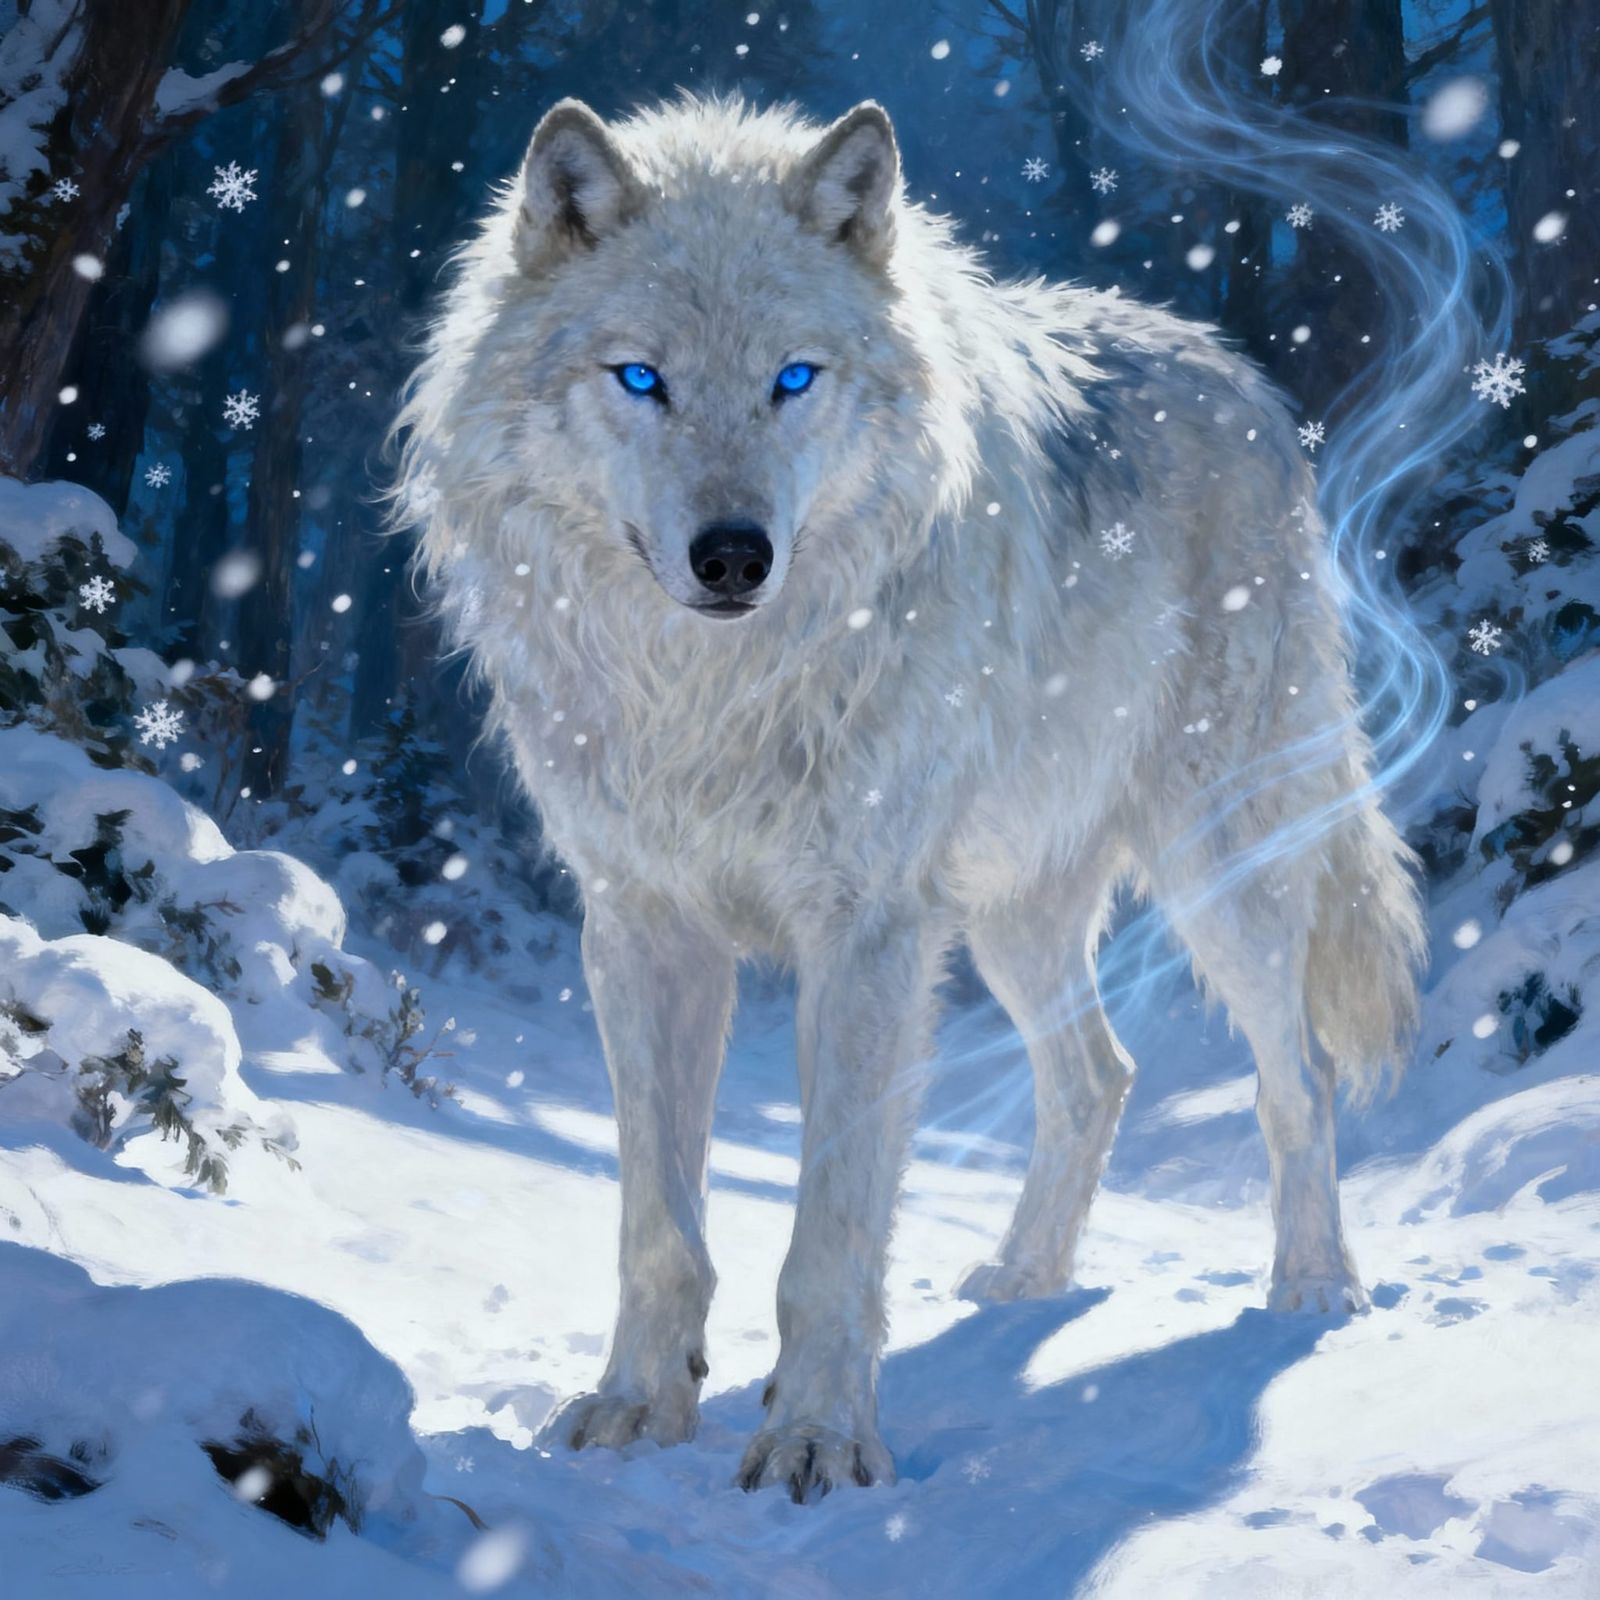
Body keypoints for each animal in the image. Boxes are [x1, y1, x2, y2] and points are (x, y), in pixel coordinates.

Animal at [393, 94, 1424, 1501]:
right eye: (640, 377)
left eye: (794, 377)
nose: (734, 555)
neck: (713, 698)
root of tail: (1243, 378)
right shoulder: (641, 925)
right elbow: (658, 1220)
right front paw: (636, 1407)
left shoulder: (867, 929)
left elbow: (828, 1232)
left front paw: (819, 1442)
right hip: (1005, 916)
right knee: (1097, 1074)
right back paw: (1023, 1277)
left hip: (1219, 867)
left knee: (1296, 1073)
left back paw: (1314, 1288)